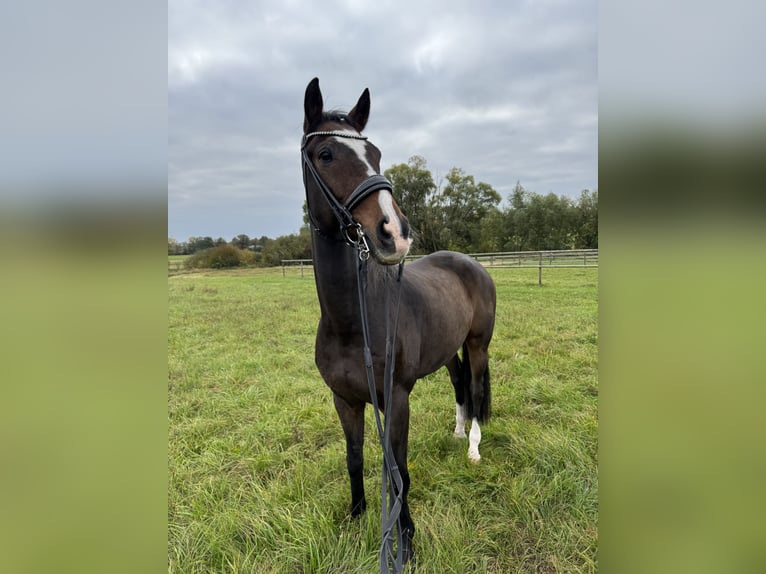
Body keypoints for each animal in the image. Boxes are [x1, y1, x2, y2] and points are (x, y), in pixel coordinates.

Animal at [301, 77, 496, 565]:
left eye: (375, 152)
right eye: (326, 154)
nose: (395, 231)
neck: (352, 321)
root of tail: (471, 263)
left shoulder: (396, 398)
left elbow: (398, 468)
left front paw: (405, 538)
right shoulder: (345, 400)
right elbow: (354, 458)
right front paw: (355, 516)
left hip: (478, 343)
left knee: (476, 385)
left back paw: (473, 447)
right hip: (448, 350)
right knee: (460, 382)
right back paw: (457, 430)